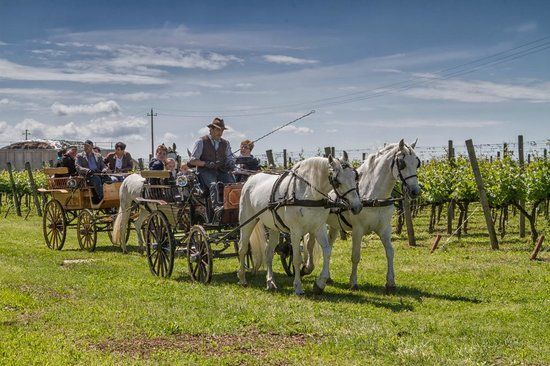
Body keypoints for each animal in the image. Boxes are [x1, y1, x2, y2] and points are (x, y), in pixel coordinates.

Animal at [239, 153, 364, 296]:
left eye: (355, 177)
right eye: (337, 182)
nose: (357, 207)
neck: (308, 193)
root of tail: (250, 179)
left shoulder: (319, 227)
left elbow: (327, 251)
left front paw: (320, 284)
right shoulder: (295, 231)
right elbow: (297, 259)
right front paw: (298, 287)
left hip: (273, 228)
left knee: (268, 253)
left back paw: (270, 282)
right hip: (247, 221)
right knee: (242, 248)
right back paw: (242, 279)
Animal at [302, 139, 422, 294]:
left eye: (417, 163)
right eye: (402, 163)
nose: (415, 191)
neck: (374, 196)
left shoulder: (385, 229)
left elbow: (390, 252)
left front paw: (390, 283)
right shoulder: (358, 230)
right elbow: (355, 256)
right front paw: (353, 282)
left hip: (333, 225)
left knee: (328, 245)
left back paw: (327, 278)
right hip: (315, 224)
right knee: (309, 243)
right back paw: (307, 268)